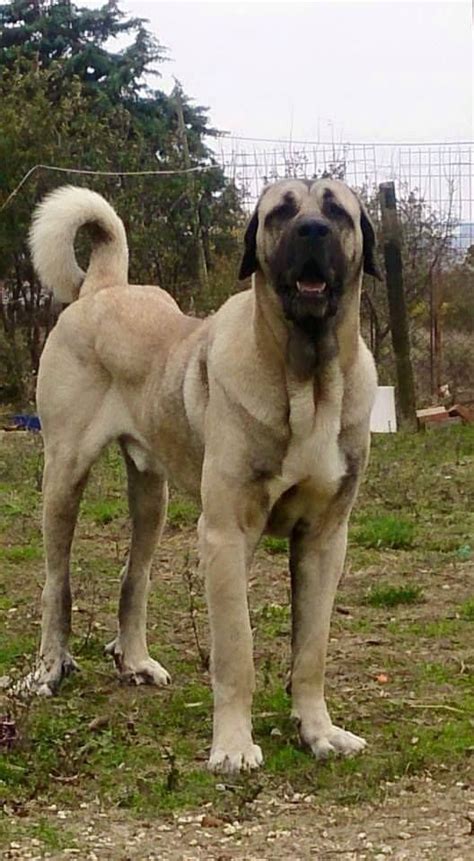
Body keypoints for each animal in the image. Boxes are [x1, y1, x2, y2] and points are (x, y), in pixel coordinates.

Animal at [28, 180, 382, 772]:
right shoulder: (225, 534)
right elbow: (236, 651)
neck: (308, 380)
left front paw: (318, 732)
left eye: (337, 210)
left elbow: (311, 650)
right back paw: (49, 670)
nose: (312, 231)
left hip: (152, 493)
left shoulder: (325, 539)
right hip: (63, 477)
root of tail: (103, 289)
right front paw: (234, 746)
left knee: (135, 576)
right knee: (57, 582)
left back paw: (136, 661)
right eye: (281, 212)